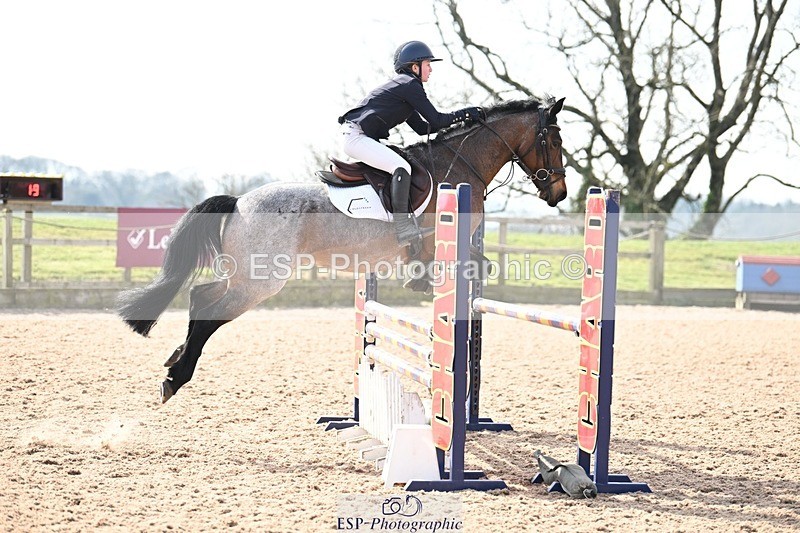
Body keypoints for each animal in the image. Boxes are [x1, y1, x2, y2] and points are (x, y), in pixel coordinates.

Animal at [116, 96, 568, 404]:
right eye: (554, 139)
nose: (559, 193)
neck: (461, 163)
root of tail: (239, 200)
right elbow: (474, 265)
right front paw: (424, 284)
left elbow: (481, 266)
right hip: (260, 281)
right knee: (210, 308)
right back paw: (176, 377)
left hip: (244, 275)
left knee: (200, 296)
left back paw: (174, 360)